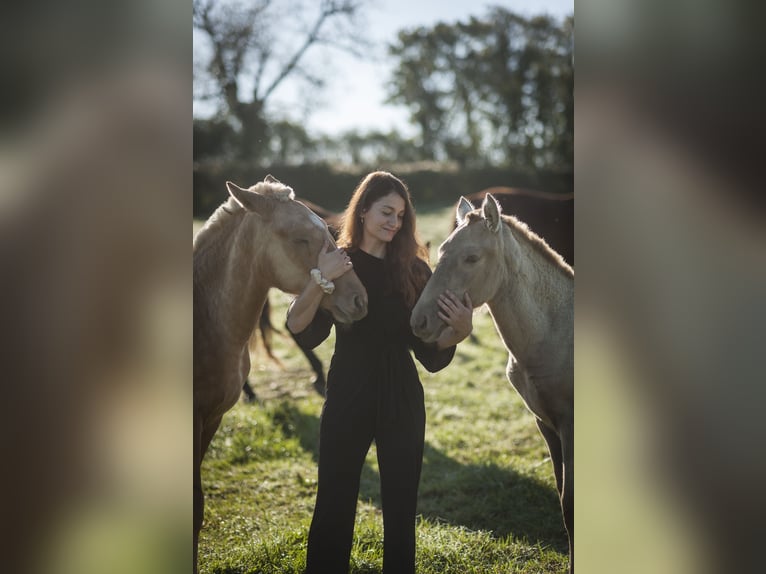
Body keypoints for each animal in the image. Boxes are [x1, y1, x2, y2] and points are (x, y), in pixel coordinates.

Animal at [411, 194, 574, 572]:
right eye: (442, 250)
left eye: (471, 258)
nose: (418, 320)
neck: (556, 332)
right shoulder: (546, 424)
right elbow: (564, 502)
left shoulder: (570, 425)